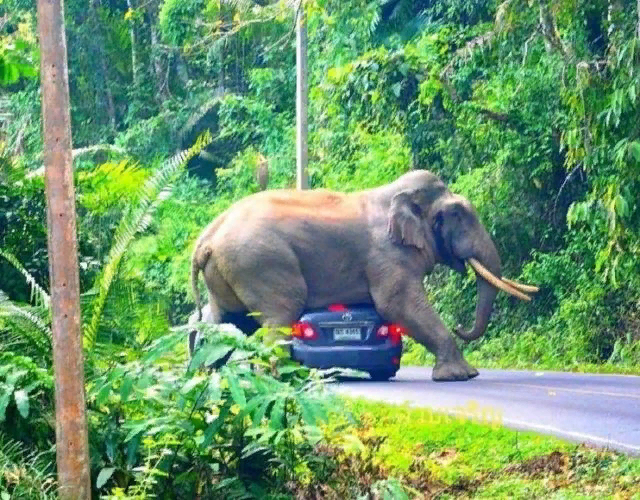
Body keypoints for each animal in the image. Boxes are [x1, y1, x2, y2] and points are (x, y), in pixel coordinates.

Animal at [190, 170, 540, 380]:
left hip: (229, 271)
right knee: (279, 315)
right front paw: (463, 375)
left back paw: (206, 375)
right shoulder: (387, 254)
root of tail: (206, 237)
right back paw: (284, 378)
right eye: (458, 214)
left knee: (224, 320)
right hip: (260, 263)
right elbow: (397, 305)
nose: (461, 326)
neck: (396, 195)